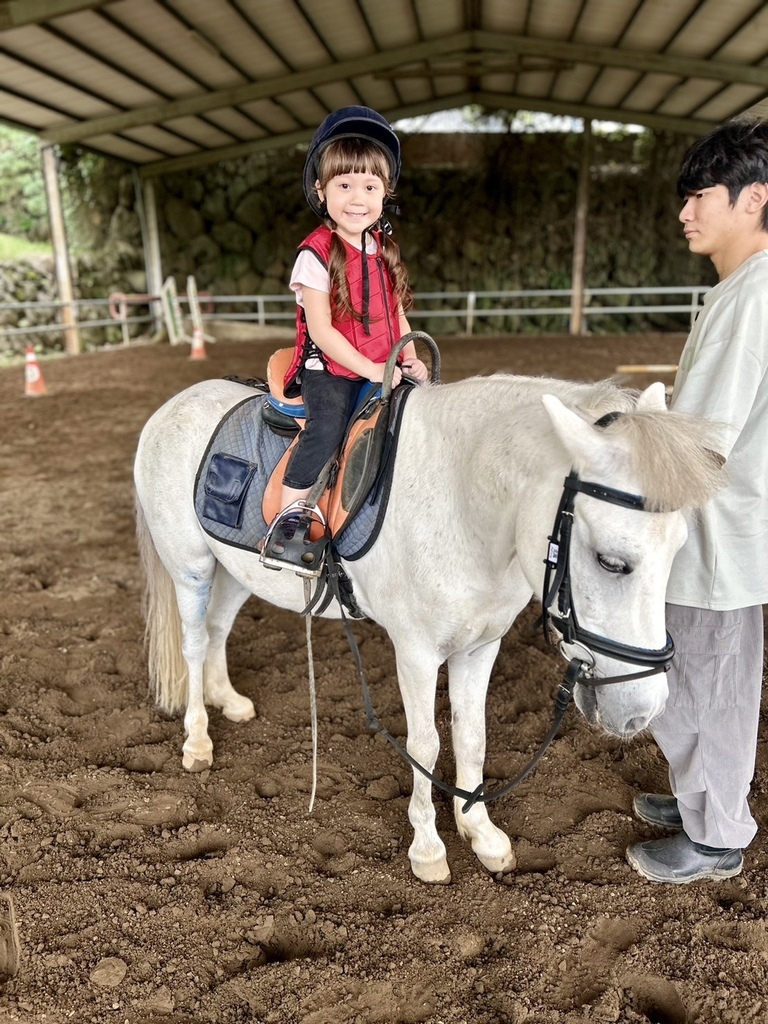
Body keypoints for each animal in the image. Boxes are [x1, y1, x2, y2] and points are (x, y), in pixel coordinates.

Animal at [135, 372, 724, 884]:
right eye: (612, 562)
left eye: (679, 548)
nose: (643, 710)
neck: (462, 501)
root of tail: (174, 404)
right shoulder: (415, 652)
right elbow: (426, 743)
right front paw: (428, 849)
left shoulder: (480, 647)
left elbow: (472, 735)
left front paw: (481, 831)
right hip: (191, 567)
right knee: (193, 643)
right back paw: (198, 741)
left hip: (236, 570)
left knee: (218, 629)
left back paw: (229, 700)